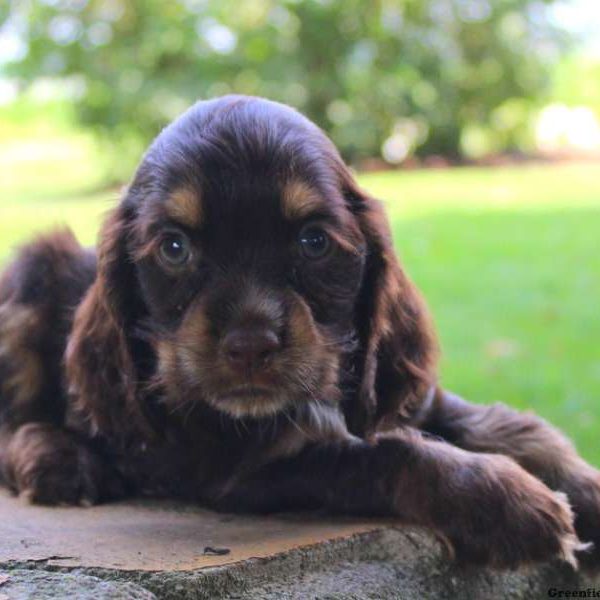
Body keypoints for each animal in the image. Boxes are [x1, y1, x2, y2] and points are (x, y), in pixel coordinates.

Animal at [1, 96, 600, 568]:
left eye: (313, 242)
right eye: (174, 247)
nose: (249, 346)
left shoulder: (402, 395)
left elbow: (507, 426)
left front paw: (583, 488)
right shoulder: (245, 473)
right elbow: (382, 454)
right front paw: (506, 502)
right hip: (31, 272)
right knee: (11, 428)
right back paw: (56, 460)